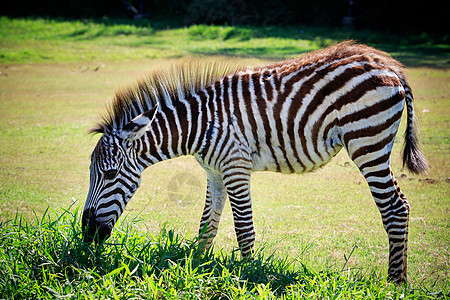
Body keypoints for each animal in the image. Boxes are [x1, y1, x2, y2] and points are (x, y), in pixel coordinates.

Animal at [82, 41, 428, 284]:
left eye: (110, 174)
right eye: (91, 174)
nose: (86, 234)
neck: (200, 124)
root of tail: (389, 66)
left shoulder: (235, 167)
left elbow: (243, 228)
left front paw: (248, 275)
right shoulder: (214, 172)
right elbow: (207, 226)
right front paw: (196, 267)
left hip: (368, 143)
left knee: (396, 208)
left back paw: (394, 283)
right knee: (399, 206)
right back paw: (399, 279)